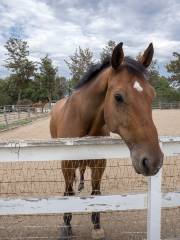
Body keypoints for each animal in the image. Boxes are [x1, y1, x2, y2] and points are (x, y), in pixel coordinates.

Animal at [50, 43, 163, 240]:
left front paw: (96, 225)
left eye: (152, 95)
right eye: (118, 97)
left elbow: (96, 193)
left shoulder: (99, 165)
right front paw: (66, 225)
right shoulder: (66, 165)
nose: (153, 161)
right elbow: (68, 192)